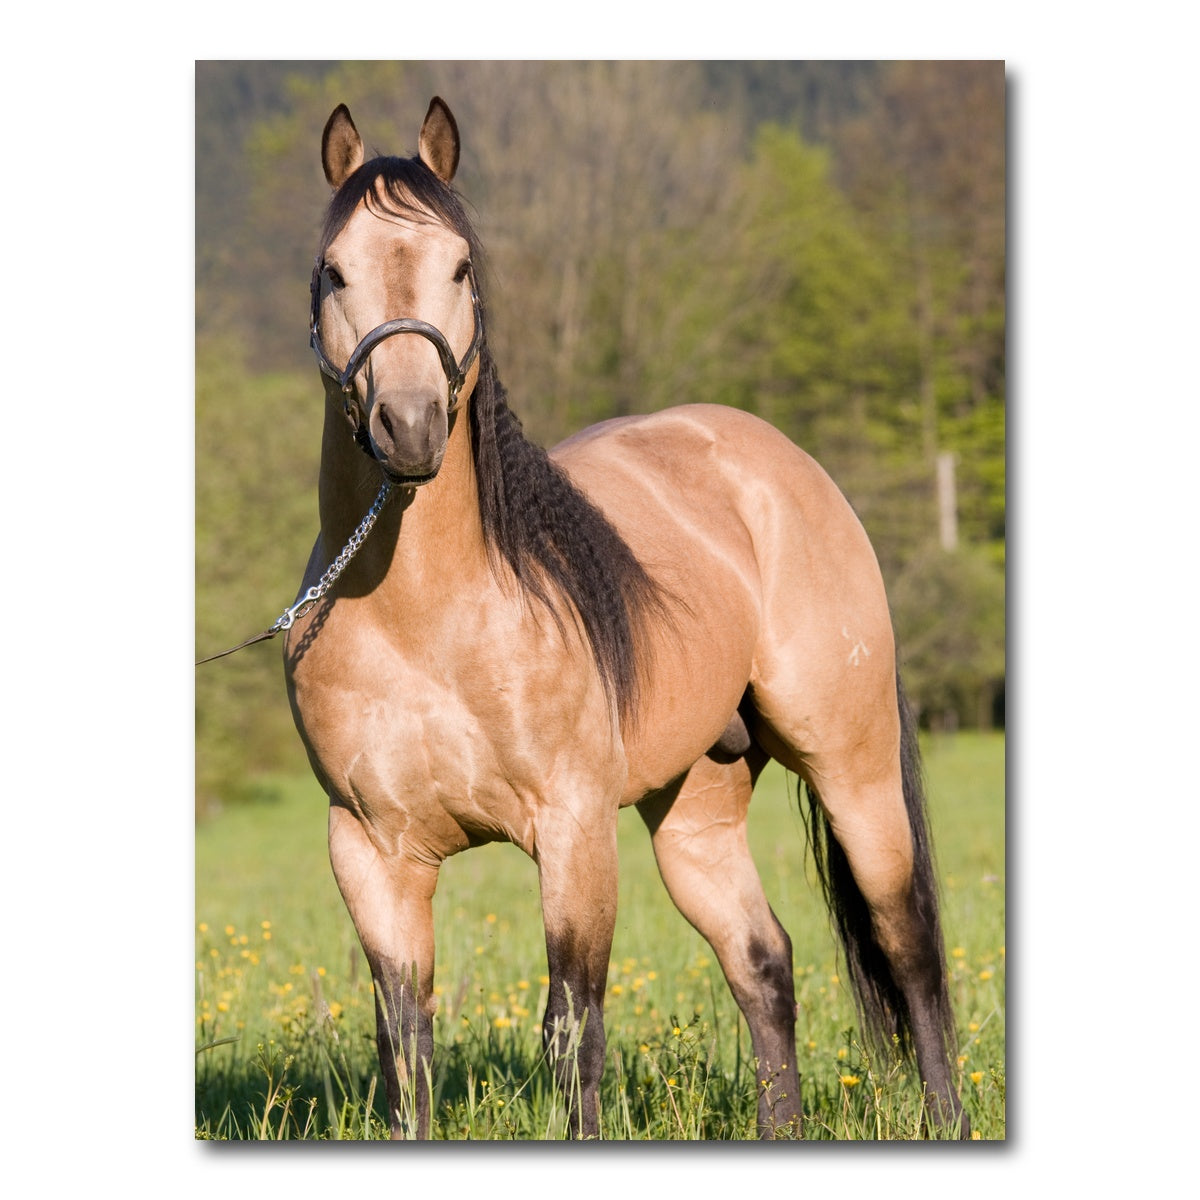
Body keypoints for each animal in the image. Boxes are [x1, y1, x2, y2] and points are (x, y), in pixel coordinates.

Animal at [283, 96, 969, 1140]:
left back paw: (946, 1118)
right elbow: (406, 1049)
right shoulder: (370, 852)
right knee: (762, 962)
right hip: (694, 811)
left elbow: (573, 1031)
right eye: (335, 268)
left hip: (852, 768)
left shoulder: (572, 832)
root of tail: (780, 462)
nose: (409, 425)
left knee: (907, 946)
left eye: (462, 266)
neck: (424, 619)